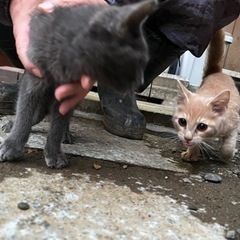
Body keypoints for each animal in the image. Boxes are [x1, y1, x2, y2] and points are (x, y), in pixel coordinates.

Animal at [0, 0, 158, 168]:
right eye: (138, 61)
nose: (141, 83)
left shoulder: (69, 93)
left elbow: (58, 125)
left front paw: (54, 152)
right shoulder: (34, 80)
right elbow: (24, 116)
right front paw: (12, 144)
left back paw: (65, 134)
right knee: (34, 115)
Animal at [172, 29, 240, 162]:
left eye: (202, 126)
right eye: (182, 122)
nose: (187, 138)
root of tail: (217, 72)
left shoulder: (235, 124)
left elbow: (228, 147)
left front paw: (228, 152)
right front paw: (192, 152)